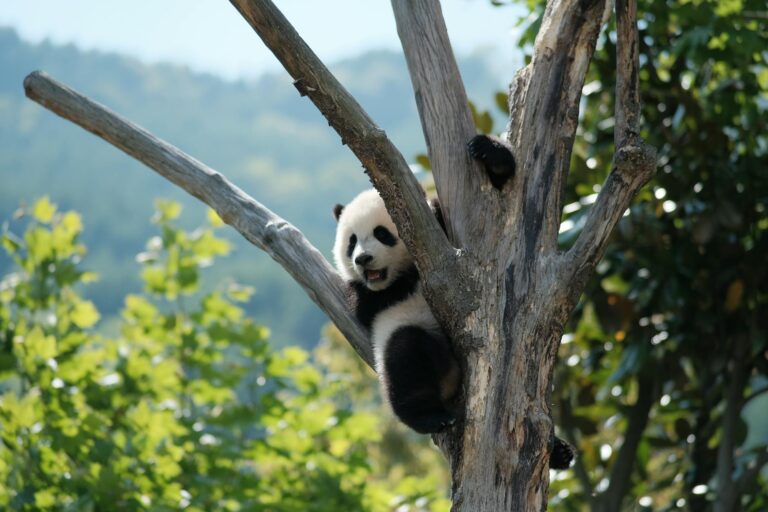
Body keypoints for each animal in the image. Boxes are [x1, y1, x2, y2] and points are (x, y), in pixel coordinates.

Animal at [332, 134, 574, 468]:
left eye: (381, 234)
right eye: (352, 241)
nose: (363, 259)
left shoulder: (439, 230)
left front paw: (491, 154)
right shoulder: (369, 297)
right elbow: (372, 303)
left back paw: (559, 451)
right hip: (411, 342)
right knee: (405, 357)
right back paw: (430, 416)